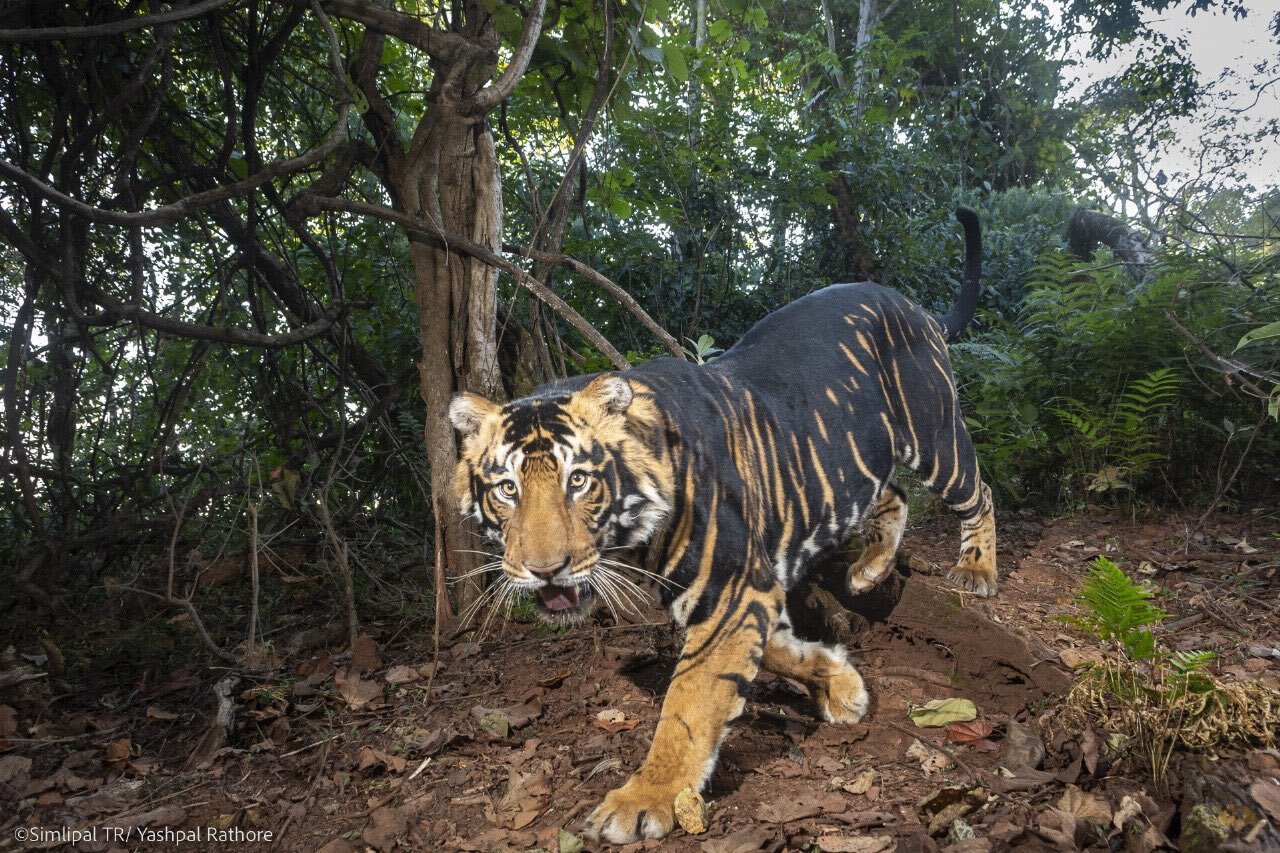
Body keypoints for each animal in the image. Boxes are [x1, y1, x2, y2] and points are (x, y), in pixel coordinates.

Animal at [450, 207, 998, 845]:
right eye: (507, 489)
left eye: (579, 481)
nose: (544, 571)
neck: (634, 542)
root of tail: (909, 303)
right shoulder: (739, 594)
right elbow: (773, 651)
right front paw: (840, 683)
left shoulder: (733, 590)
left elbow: (690, 702)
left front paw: (645, 798)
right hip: (855, 455)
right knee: (893, 495)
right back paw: (869, 570)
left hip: (935, 433)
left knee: (979, 492)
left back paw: (977, 570)